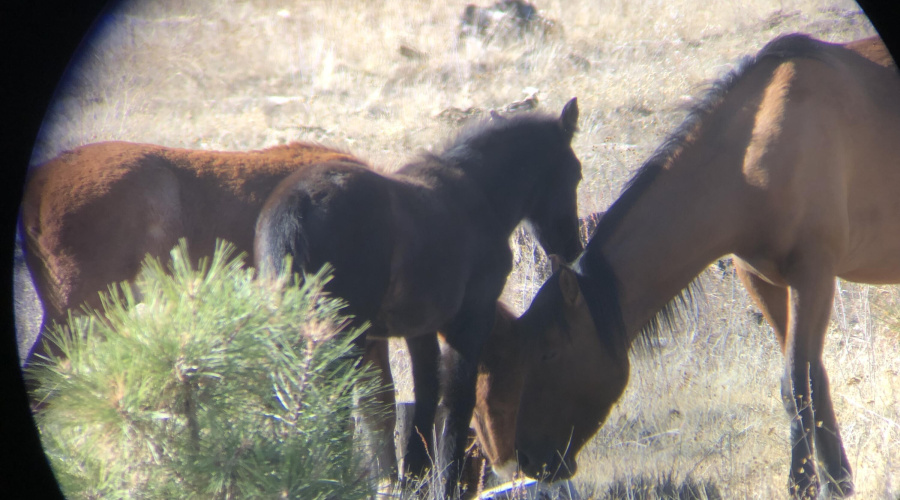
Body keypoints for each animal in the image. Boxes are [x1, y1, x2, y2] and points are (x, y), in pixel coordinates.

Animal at [254, 98, 583, 495]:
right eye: (576, 174)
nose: (572, 248)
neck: (478, 193)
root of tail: (297, 205)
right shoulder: (470, 321)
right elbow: (457, 402)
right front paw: (448, 483)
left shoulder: (421, 329)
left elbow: (427, 396)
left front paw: (414, 476)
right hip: (342, 335)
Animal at [512, 34, 899, 499]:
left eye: (549, 353)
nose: (528, 459)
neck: (755, 159)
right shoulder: (763, 281)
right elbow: (811, 381)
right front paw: (835, 479)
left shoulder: (814, 276)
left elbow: (797, 382)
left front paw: (806, 482)